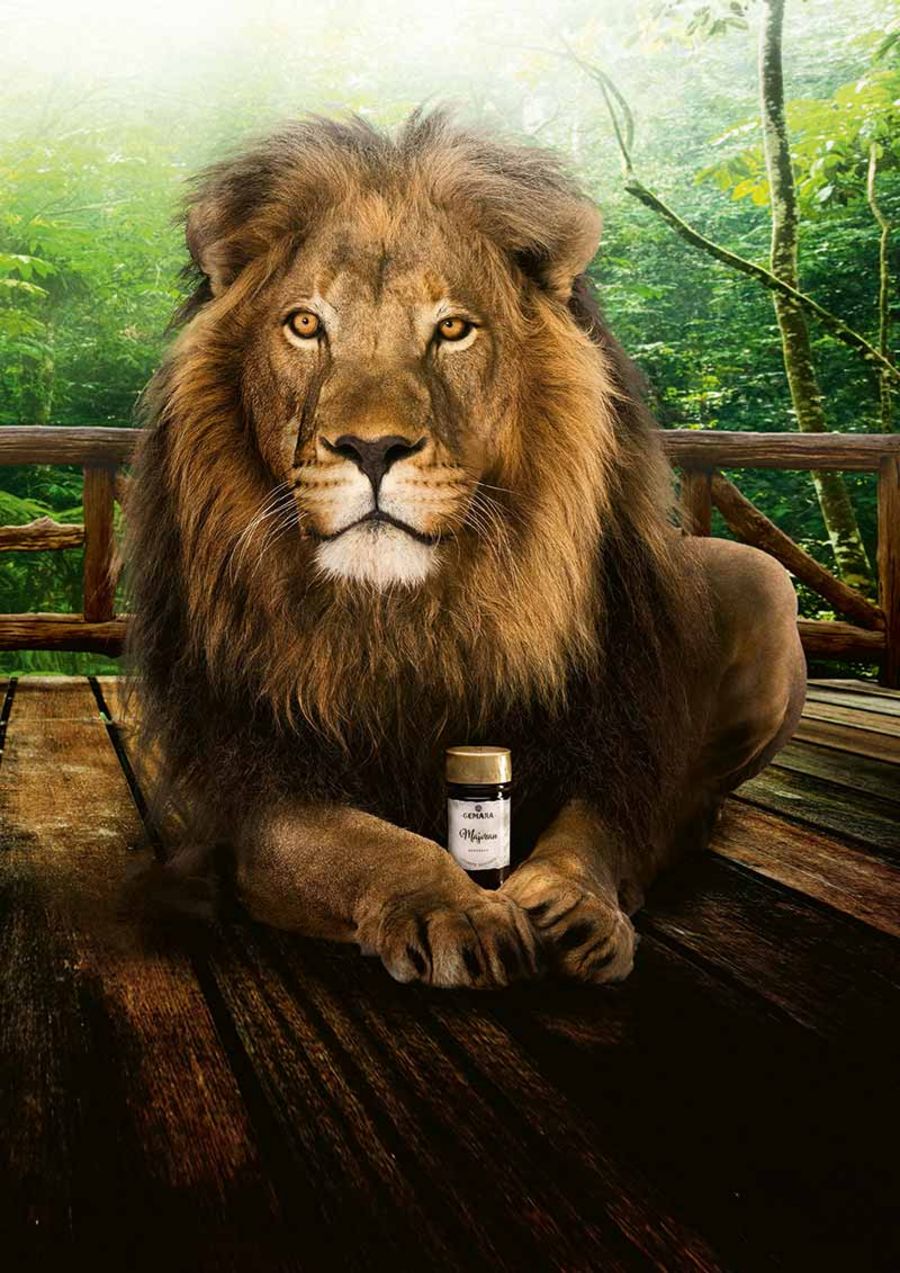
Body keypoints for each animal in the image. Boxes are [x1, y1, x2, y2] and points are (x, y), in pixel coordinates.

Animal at [123, 105, 806, 988]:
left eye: (451, 329)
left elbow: (594, 831)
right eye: (306, 325)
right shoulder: (256, 786)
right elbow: (366, 843)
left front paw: (575, 905)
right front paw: (456, 906)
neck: (410, 616)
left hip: (762, 576)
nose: (372, 447)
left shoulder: (614, 737)